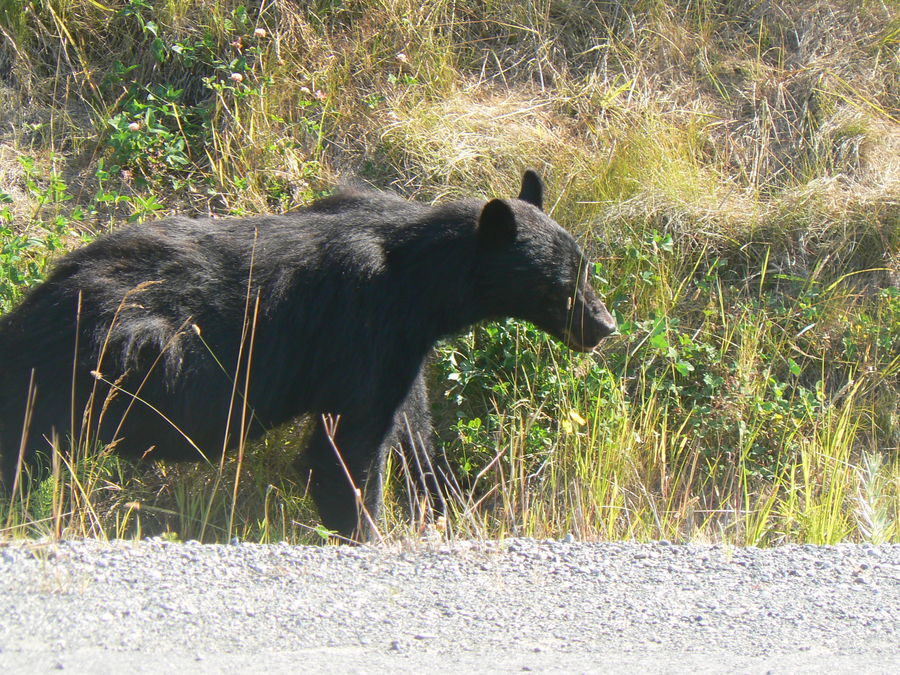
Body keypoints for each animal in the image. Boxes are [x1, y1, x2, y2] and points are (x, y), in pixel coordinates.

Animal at [0, 173, 616, 540]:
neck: (423, 283)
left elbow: (414, 428)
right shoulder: (362, 327)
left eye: (584, 267)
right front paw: (363, 528)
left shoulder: (403, 347)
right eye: (564, 284)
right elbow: (347, 447)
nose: (605, 326)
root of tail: (30, 308)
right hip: (92, 370)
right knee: (27, 451)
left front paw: (441, 506)